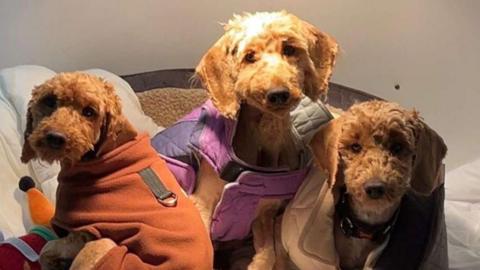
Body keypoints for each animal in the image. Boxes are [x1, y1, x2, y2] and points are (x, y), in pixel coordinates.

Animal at [20, 73, 212, 270]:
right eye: (49, 101)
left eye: (89, 112)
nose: (55, 138)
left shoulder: (84, 233)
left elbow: (46, 250)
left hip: (104, 245)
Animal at [154, 11, 338, 270]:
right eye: (249, 56)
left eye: (289, 49)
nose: (278, 94)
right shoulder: (203, 201)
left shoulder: (263, 213)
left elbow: (268, 255)